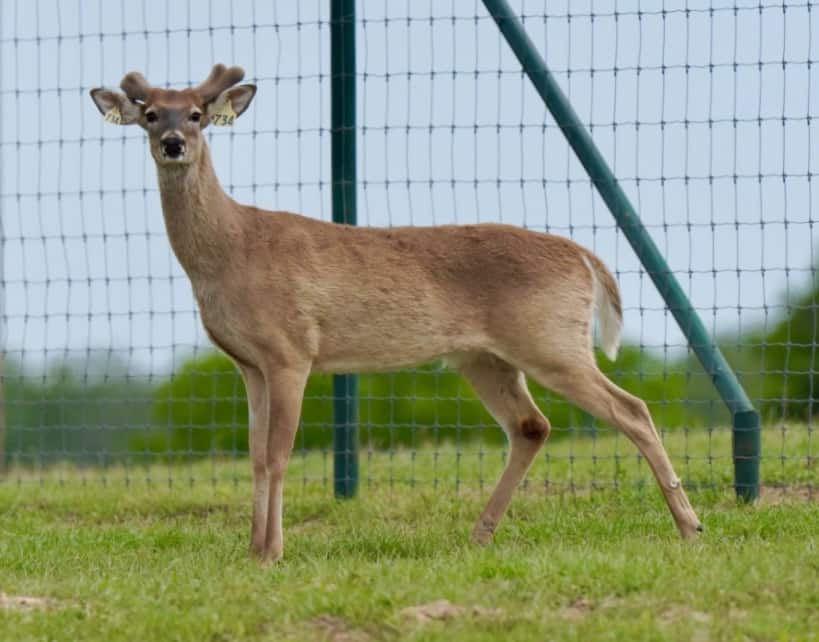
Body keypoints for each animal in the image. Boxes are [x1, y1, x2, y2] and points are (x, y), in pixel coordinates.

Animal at [90, 64, 702, 562]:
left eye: (197, 114)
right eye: (149, 115)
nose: (173, 142)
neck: (232, 249)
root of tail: (583, 257)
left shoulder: (292, 350)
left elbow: (279, 454)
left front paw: (273, 553)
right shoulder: (249, 363)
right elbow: (256, 457)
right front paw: (253, 548)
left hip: (550, 340)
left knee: (632, 410)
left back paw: (690, 526)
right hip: (485, 358)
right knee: (532, 426)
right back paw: (479, 535)